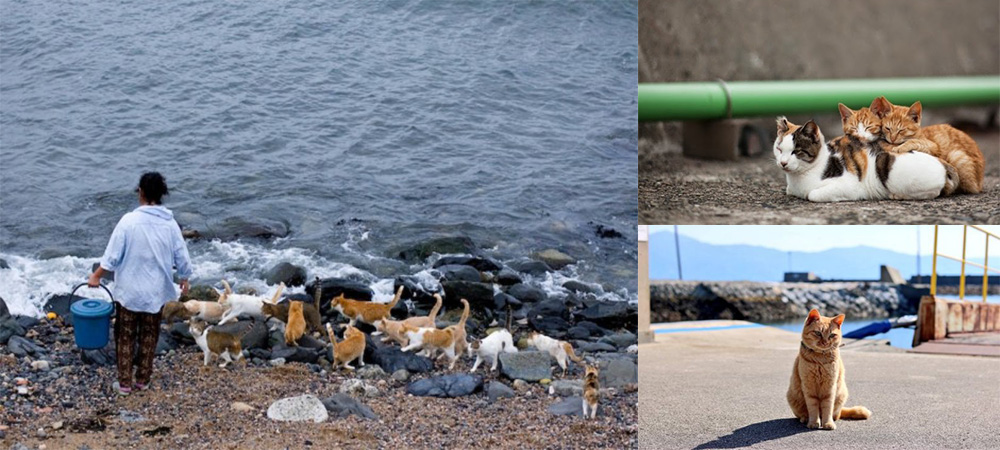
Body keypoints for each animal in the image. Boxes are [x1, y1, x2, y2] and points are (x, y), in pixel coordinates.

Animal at [772, 119, 952, 204]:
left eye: (796, 151)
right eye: (779, 149)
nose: (783, 163)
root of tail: (943, 163)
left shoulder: (851, 185)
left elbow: (812, 194)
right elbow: (789, 190)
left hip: (883, 161)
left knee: (932, 192)